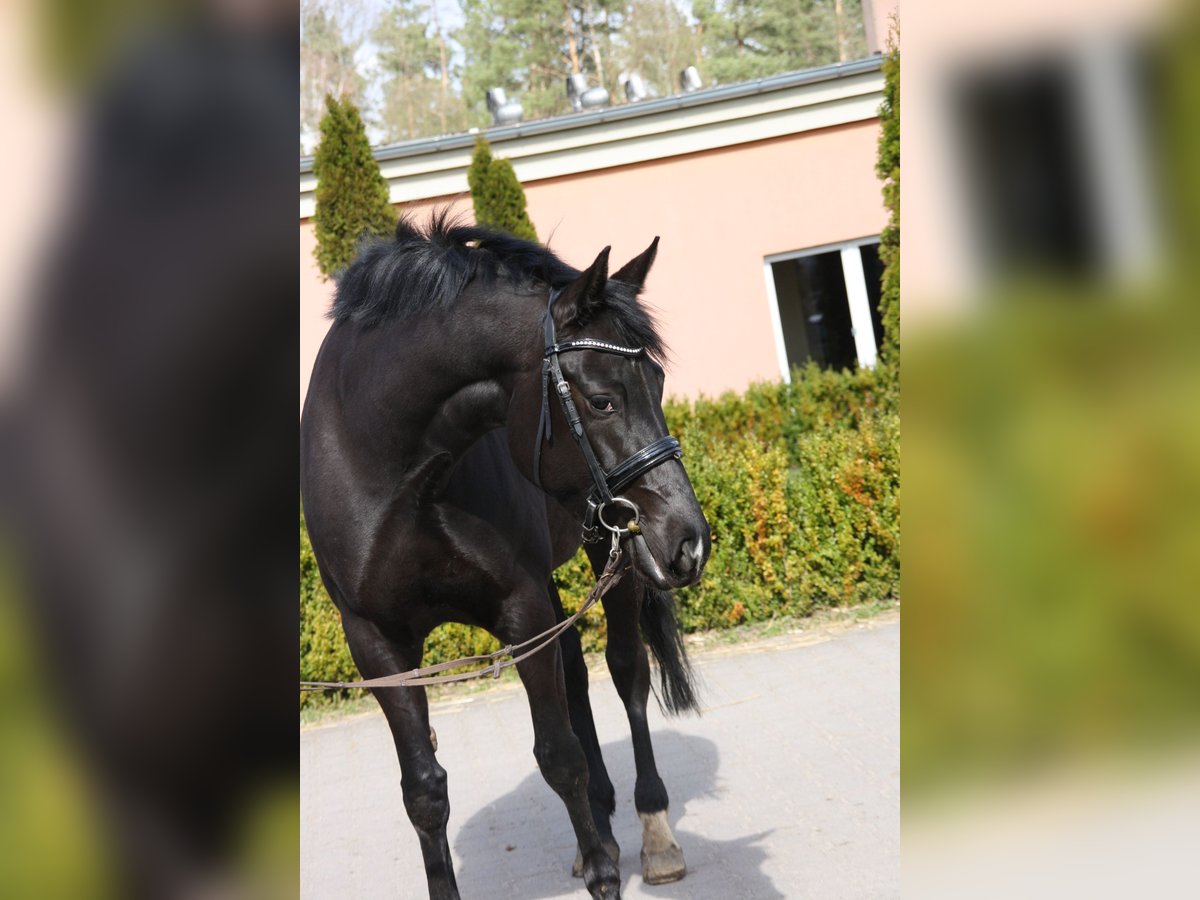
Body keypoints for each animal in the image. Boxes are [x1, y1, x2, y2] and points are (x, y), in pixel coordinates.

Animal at [300, 214, 705, 897]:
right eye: (602, 399)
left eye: (659, 382)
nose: (688, 539)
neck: (389, 465)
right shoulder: (377, 644)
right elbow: (424, 792)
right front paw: (593, 848)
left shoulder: (522, 609)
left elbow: (559, 755)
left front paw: (605, 874)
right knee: (577, 674)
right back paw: (601, 822)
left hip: (609, 552)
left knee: (626, 672)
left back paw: (653, 835)